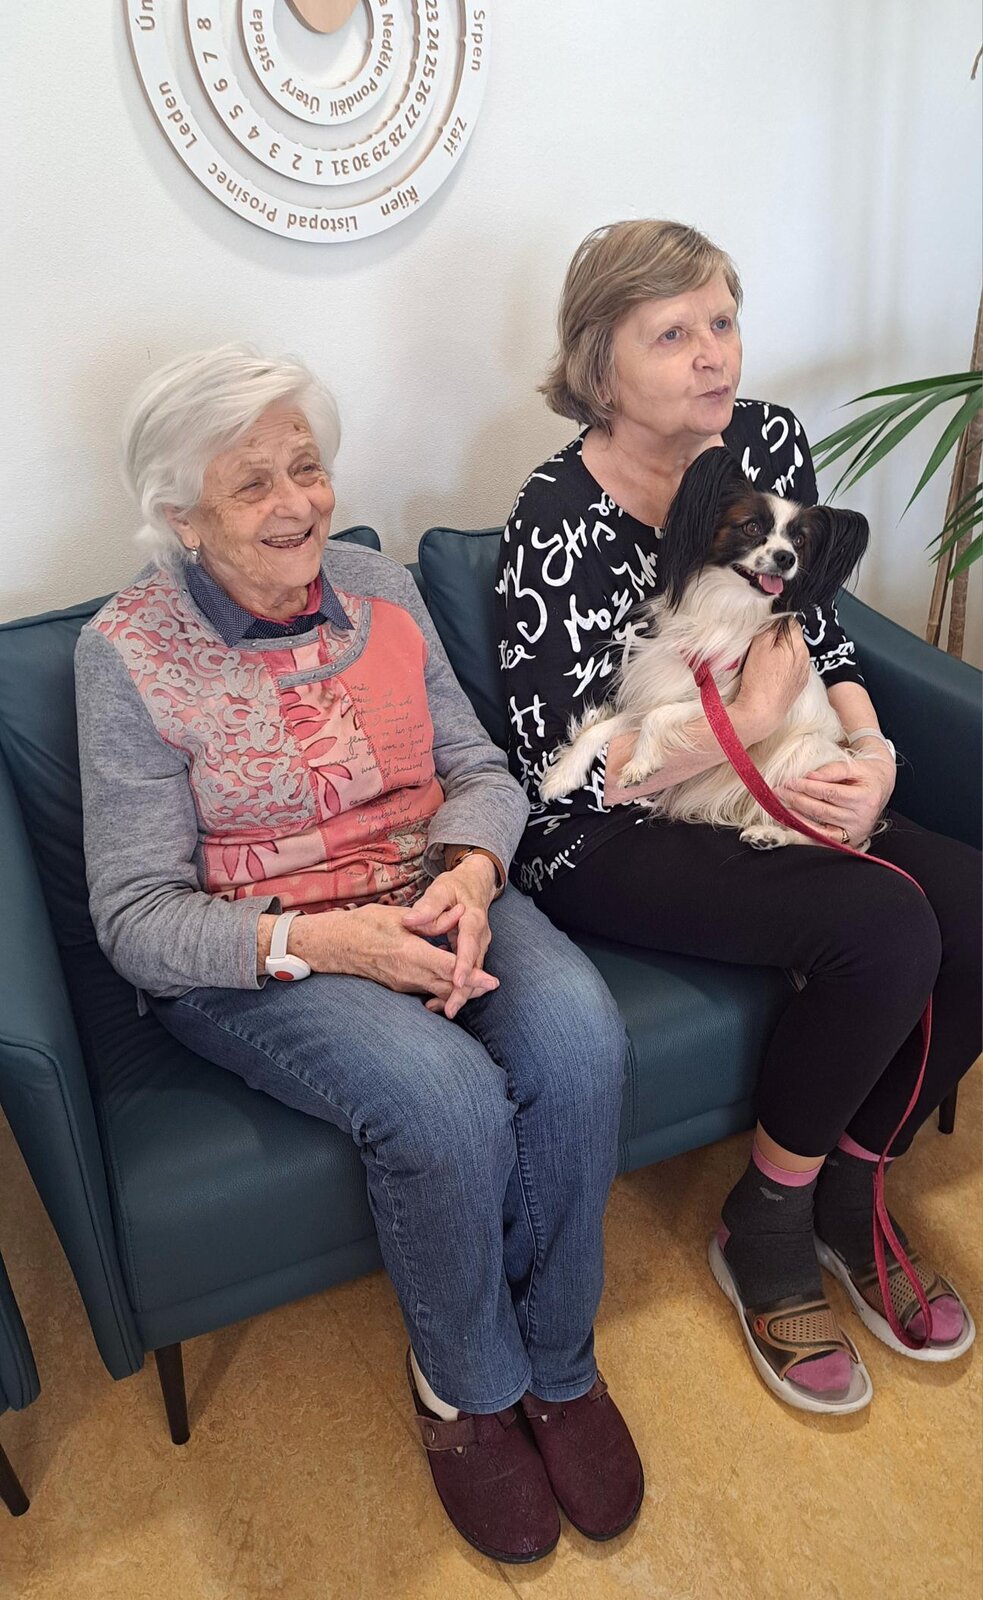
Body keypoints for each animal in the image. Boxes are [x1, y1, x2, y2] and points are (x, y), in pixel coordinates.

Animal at [539, 447, 870, 848]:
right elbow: (602, 729)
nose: (786, 558)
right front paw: (563, 775)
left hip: (800, 755)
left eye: (799, 542)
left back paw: (769, 834)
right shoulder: (663, 688)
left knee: (821, 833)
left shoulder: (721, 702)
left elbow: (658, 716)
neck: (724, 607)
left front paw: (640, 763)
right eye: (752, 528)